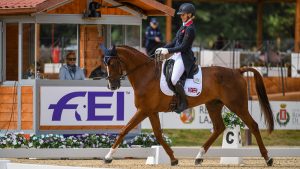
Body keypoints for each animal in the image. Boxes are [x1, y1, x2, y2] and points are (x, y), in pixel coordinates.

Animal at [103, 45, 274, 166]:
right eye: (106, 64)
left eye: (112, 63)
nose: (112, 86)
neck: (145, 74)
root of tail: (237, 70)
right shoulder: (151, 111)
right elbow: (158, 134)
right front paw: (173, 159)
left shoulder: (143, 110)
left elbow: (124, 130)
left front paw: (108, 157)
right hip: (213, 105)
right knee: (219, 127)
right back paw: (199, 157)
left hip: (237, 105)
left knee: (253, 125)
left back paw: (268, 158)